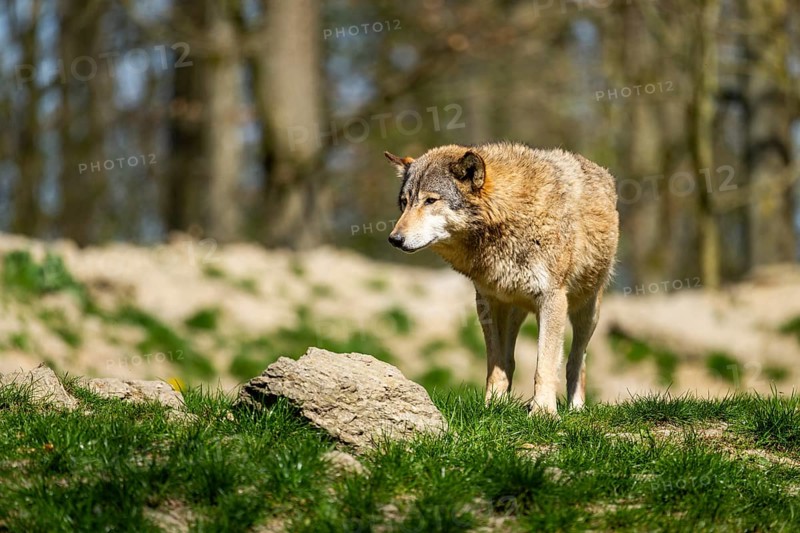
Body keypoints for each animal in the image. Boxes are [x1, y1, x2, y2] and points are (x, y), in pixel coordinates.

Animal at [385, 142, 618, 415]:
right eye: (405, 202)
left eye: (430, 200)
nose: (394, 239)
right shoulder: (489, 302)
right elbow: (496, 363)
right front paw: (492, 406)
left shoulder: (552, 299)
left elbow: (545, 365)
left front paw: (543, 412)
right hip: (516, 310)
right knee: (510, 359)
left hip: (586, 313)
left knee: (576, 361)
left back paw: (575, 408)